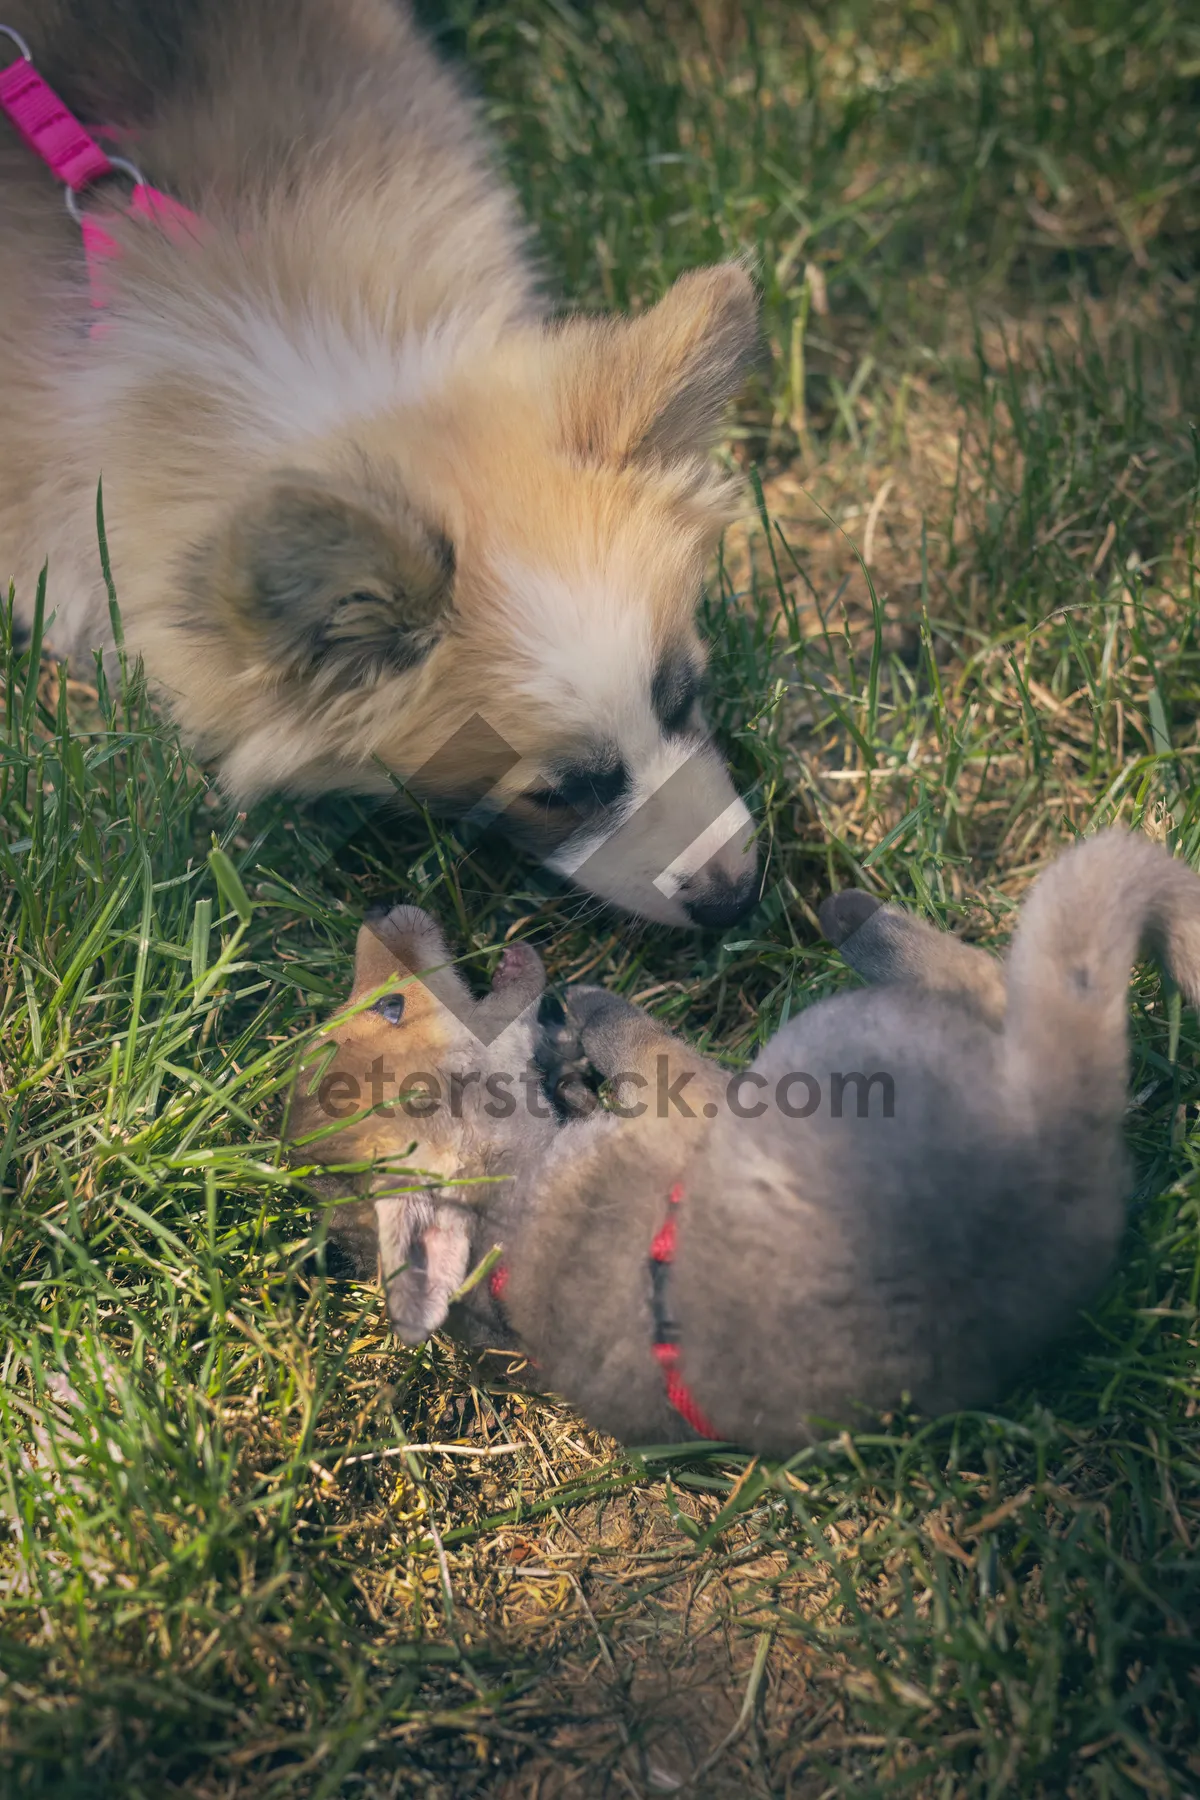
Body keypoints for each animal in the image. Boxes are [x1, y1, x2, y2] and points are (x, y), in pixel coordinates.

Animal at [291, 835, 1200, 1454]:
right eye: (394, 1008)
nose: (376, 909)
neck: (512, 1211)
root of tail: (1056, 1139)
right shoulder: (694, 1099)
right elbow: (633, 1035)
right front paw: (583, 1011)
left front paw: (567, 1048)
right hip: (833, 1039)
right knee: (982, 977)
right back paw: (858, 916)